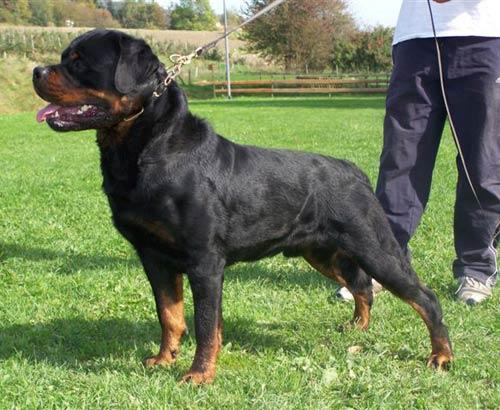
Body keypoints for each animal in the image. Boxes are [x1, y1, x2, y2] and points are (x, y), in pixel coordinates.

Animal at [32, 29, 453, 384]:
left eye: (79, 62)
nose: (36, 70)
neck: (145, 148)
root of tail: (354, 172)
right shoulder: (154, 256)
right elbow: (170, 316)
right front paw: (165, 359)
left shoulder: (204, 261)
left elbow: (204, 324)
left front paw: (198, 374)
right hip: (322, 252)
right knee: (362, 285)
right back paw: (357, 328)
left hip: (374, 247)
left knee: (423, 296)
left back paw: (441, 356)